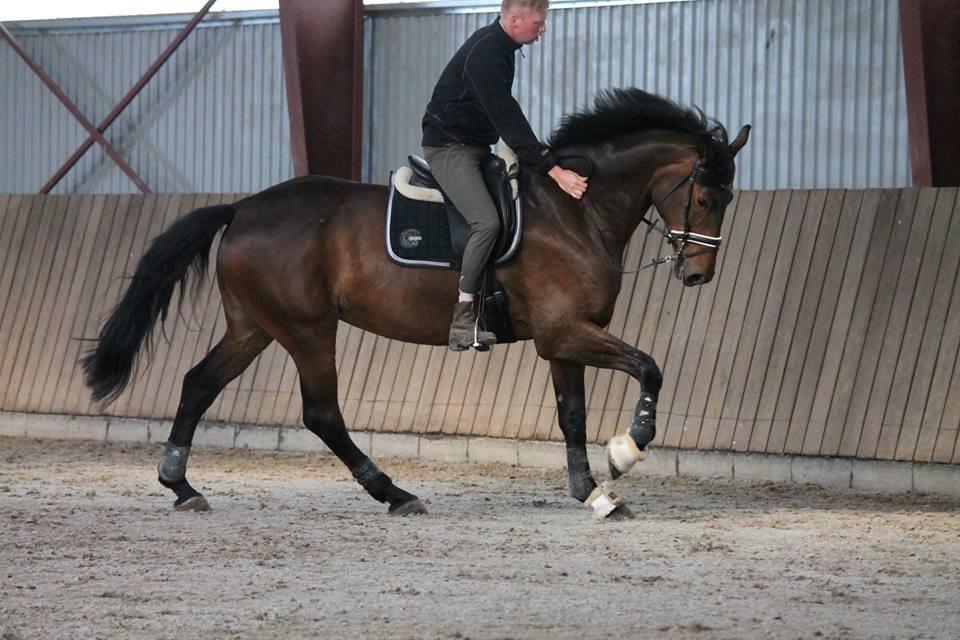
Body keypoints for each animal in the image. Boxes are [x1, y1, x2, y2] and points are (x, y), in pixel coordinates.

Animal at [82, 89, 752, 520]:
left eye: (728, 198)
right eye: (704, 195)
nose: (698, 273)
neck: (576, 210)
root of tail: (242, 208)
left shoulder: (565, 339)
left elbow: (572, 414)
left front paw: (593, 491)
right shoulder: (565, 332)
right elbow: (649, 368)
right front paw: (628, 448)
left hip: (254, 327)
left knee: (198, 383)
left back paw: (181, 487)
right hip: (308, 330)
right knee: (321, 413)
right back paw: (395, 494)